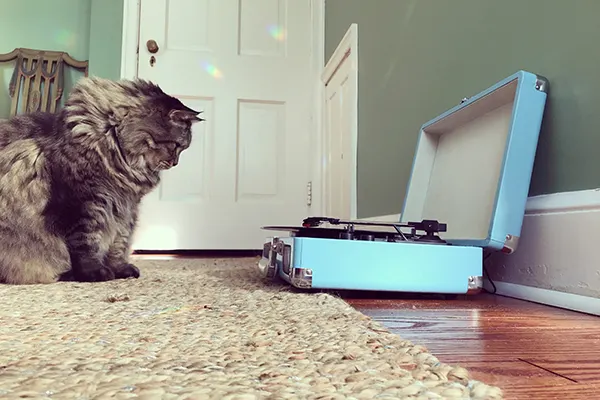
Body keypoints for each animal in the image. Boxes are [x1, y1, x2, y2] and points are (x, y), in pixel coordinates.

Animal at [0, 76, 204, 284]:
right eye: (176, 145)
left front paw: (119, 269)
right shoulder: (86, 205)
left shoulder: (127, 209)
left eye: (182, 149)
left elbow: (119, 243)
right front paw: (94, 273)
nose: (175, 163)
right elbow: (87, 244)